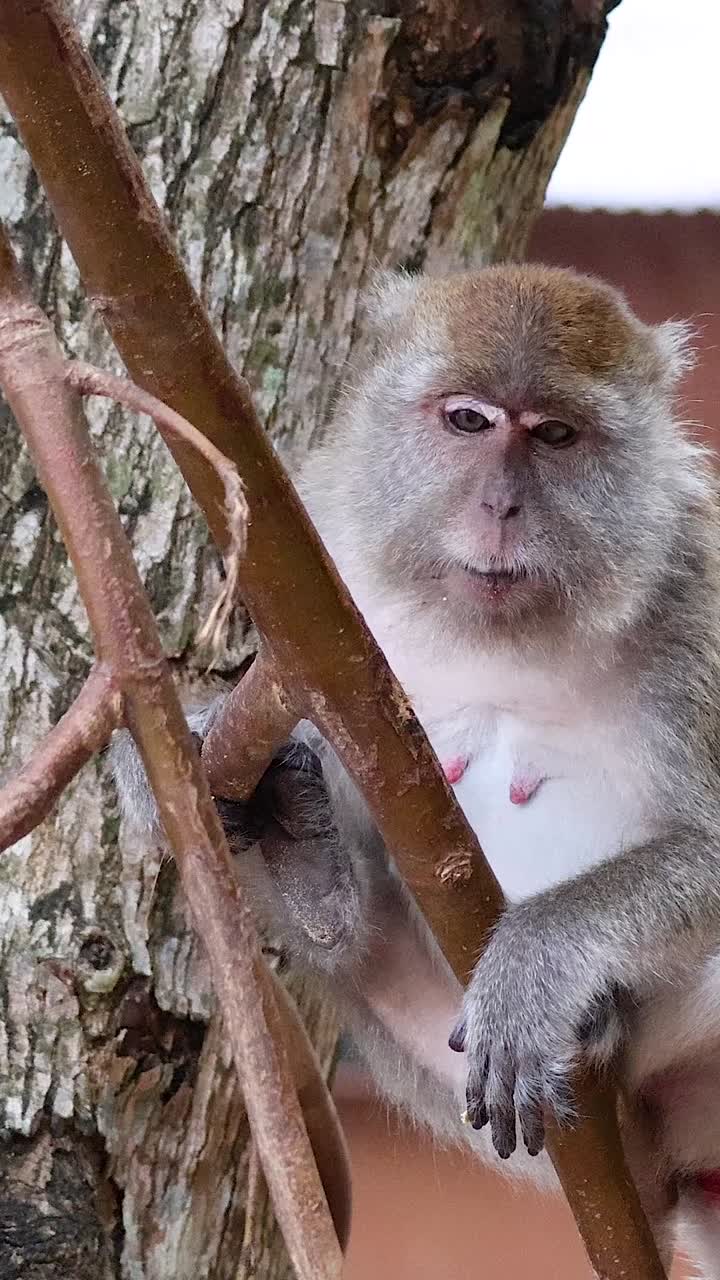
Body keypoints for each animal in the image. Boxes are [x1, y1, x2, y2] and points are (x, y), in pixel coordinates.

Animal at [111, 264, 720, 1275]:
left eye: (555, 436)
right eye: (468, 421)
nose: (502, 507)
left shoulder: (698, 593)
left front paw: (539, 957)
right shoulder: (322, 568)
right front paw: (171, 750)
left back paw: (595, 1019)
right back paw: (309, 865)